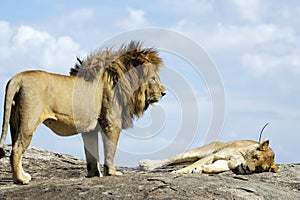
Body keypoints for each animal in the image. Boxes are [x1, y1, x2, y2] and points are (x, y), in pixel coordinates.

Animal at [0, 41, 166, 184]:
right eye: (153, 78)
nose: (164, 93)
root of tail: (17, 78)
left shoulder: (89, 128)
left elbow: (91, 154)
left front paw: (93, 175)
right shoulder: (111, 122)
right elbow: (110, 149)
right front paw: (112, 172)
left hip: (14, 122)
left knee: (15, 148)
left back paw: (20, 176)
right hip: (29, 121)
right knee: (16, 150)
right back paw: (21, 180)